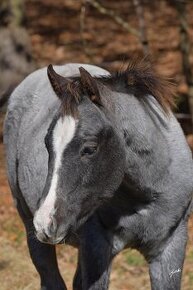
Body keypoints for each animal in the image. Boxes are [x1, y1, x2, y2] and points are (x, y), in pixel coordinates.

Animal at [2, 60, 193, 288]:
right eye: (47, 143)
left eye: (90, 148)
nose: (45, 222)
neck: (148, 195)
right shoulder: (96, 250)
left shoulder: (170, 249)